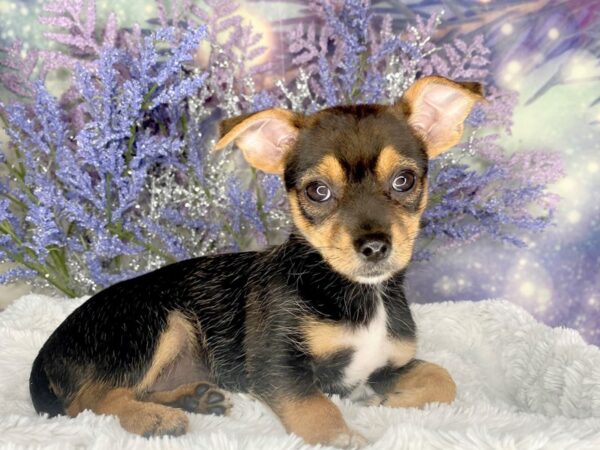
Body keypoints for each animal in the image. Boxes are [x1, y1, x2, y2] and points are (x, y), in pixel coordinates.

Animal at [29, 75, 482, 448]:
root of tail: (47, 350)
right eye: (318, 191)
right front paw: (341, 436)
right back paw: (155, 419)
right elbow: (314, 407)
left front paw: (384, 403)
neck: (358, 296)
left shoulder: (386, 364)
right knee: (91, 400)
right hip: (159, 322)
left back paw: (196, 398)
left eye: (404, 180)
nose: (374, 246)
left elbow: (444, 380)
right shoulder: (277, 366)